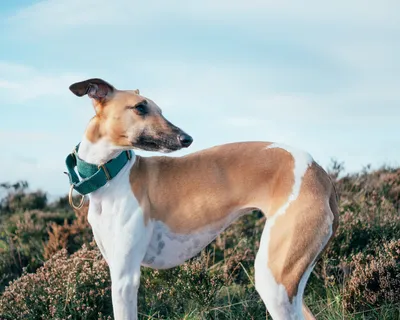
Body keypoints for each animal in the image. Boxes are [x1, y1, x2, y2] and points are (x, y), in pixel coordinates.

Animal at [65, 78, 338, 320]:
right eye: (140, 107)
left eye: (158, 109)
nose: (186, 138)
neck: (112, 177)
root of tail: (319, 172)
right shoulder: (116, 265)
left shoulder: (125, 278)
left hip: (274, 278)